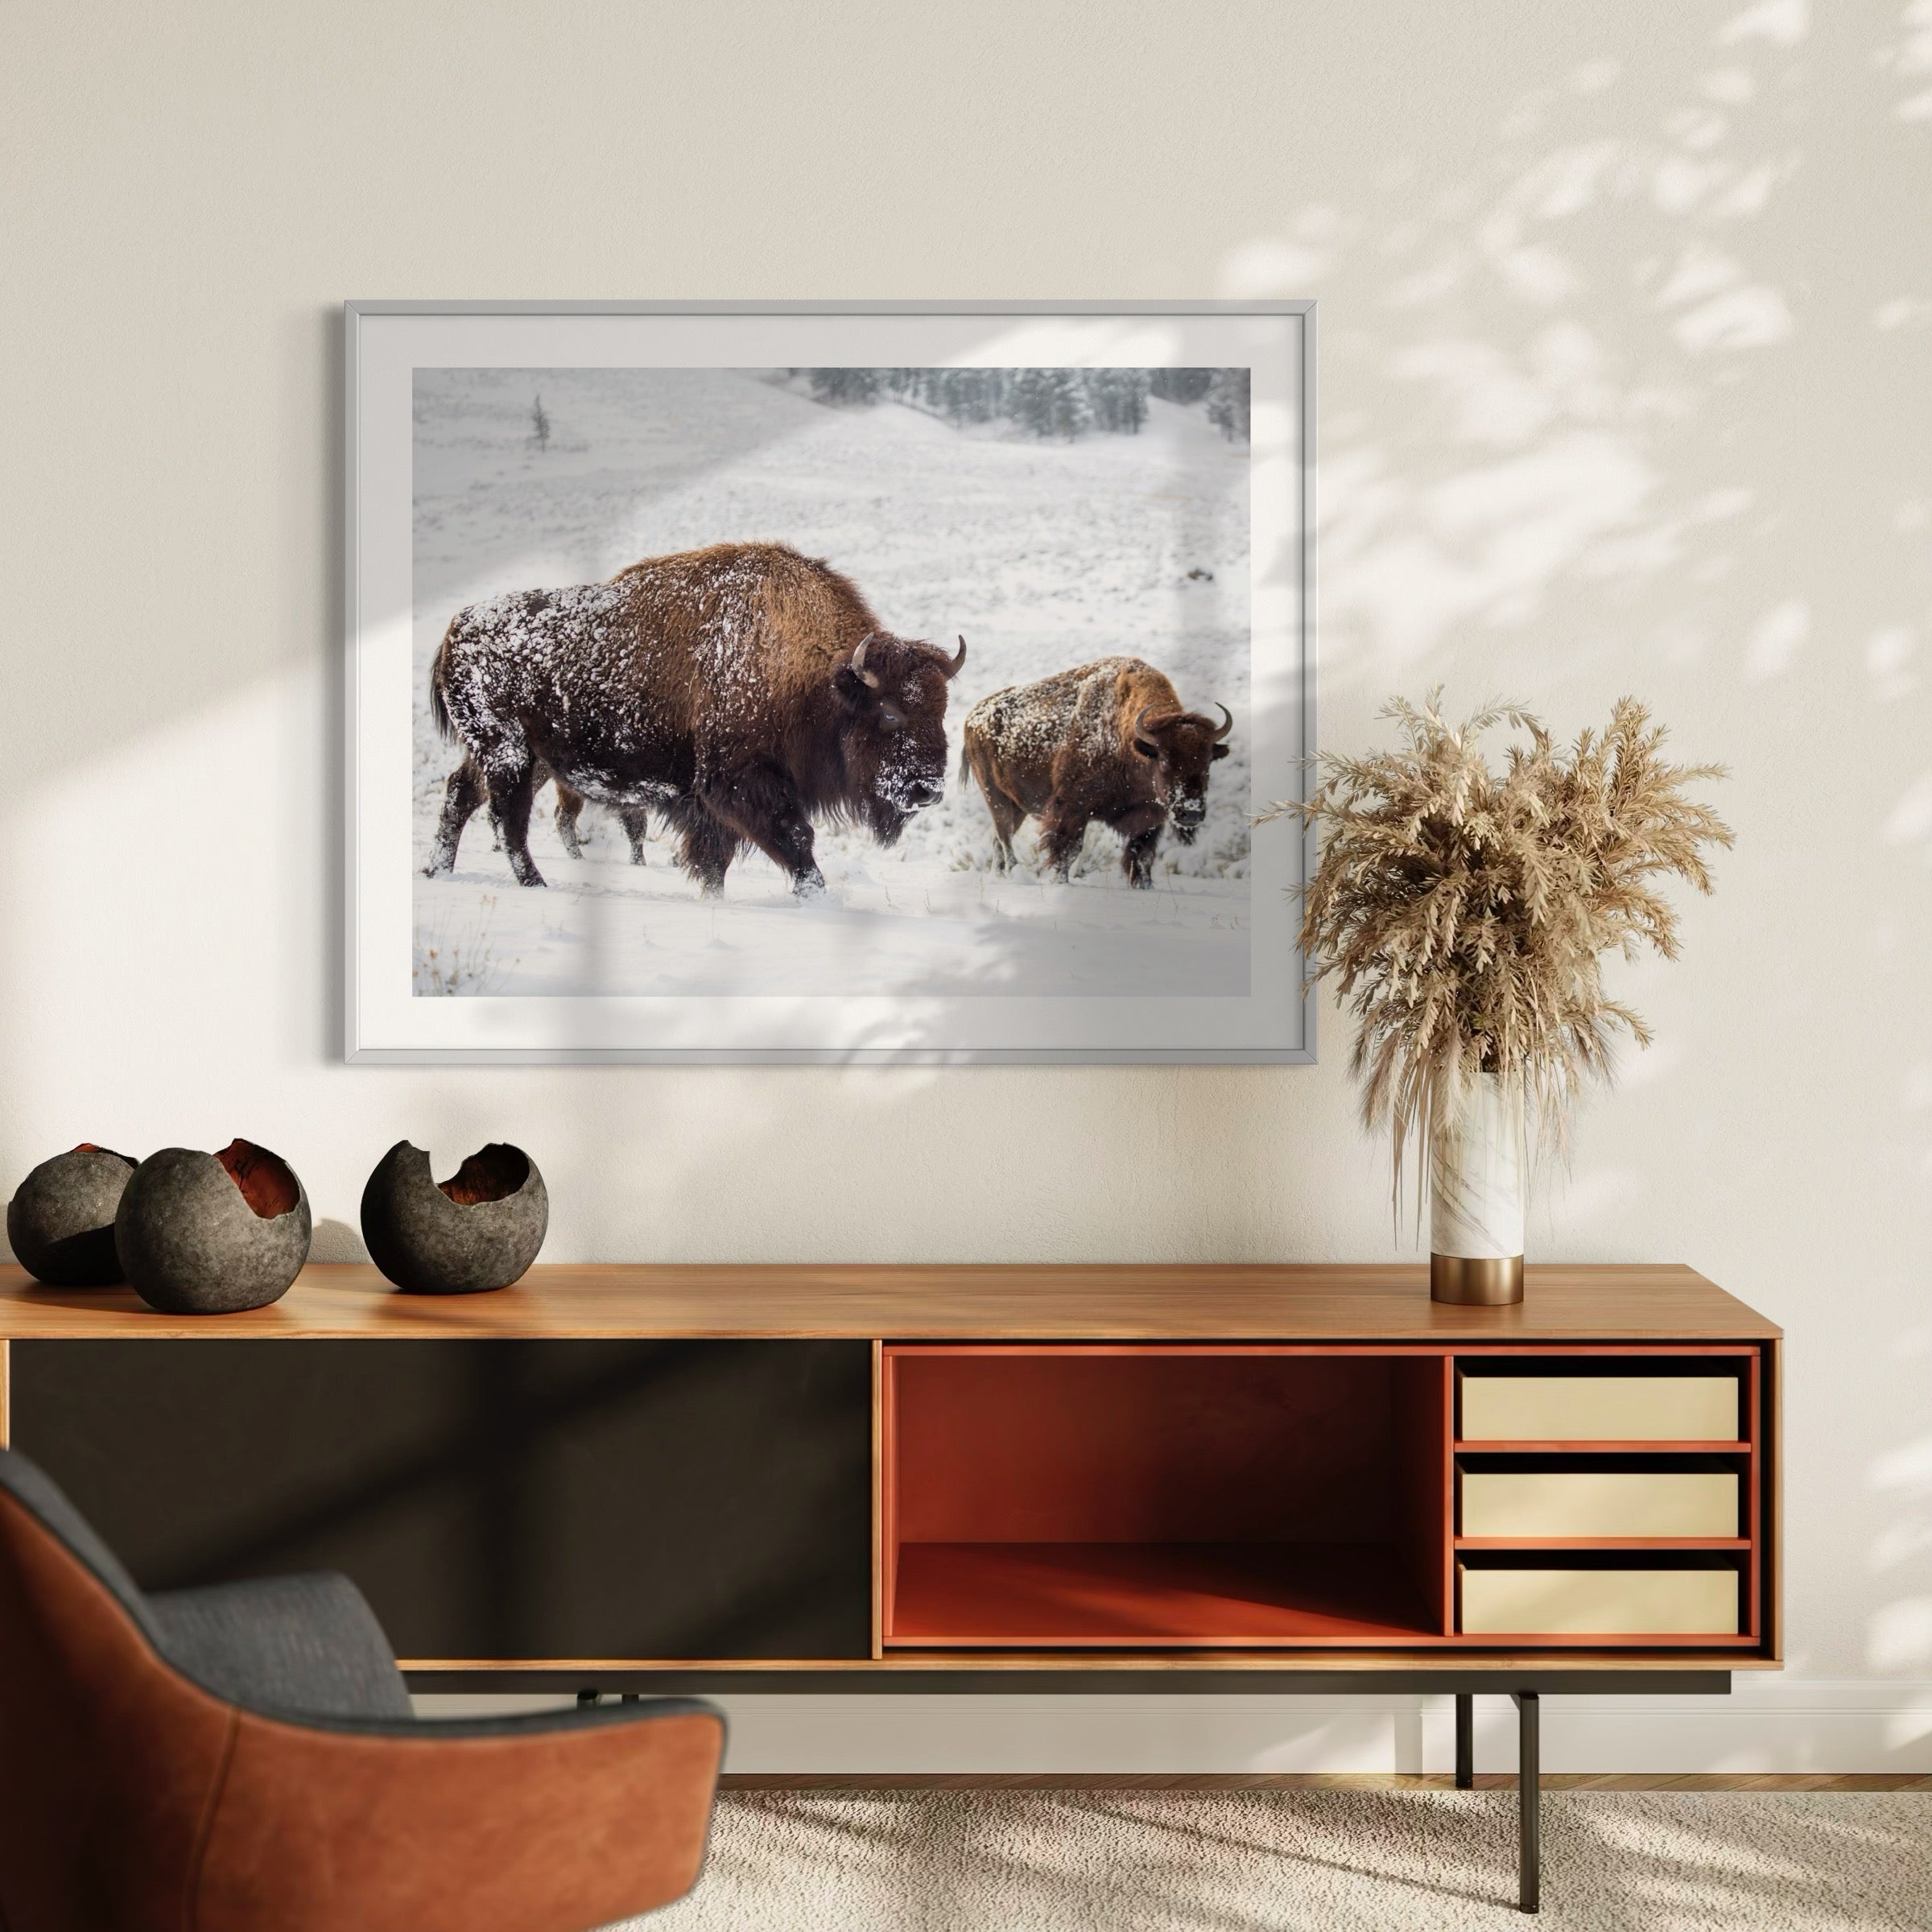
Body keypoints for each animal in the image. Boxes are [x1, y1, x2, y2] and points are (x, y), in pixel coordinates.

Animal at [423, 542, 966, 897]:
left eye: (942, 710)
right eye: (890, 712)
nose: (927, 790)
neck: (810, 674)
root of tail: (457, 626)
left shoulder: (714, 804)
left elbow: (715, 861)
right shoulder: (740, 785)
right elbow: (794, 840)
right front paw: (813, 896)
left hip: (524, 758)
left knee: (461, 796)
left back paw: (437, 872)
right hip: (508, 753)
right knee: (507, 820)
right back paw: (534, 885)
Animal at [962, 656, 1233, 887]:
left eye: (1208, 762)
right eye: (1164, 760)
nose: (1191, 813)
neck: (1131, 741)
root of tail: (973, 716)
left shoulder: (1149, 819)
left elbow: (1142, 858)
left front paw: (1144, 886)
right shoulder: (1072, 808)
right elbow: (1068, 851)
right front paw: (1060, 883)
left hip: (1018, 807)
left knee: (998, 840)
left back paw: (1000, 877)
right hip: (995, 797)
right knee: (1004, 838)